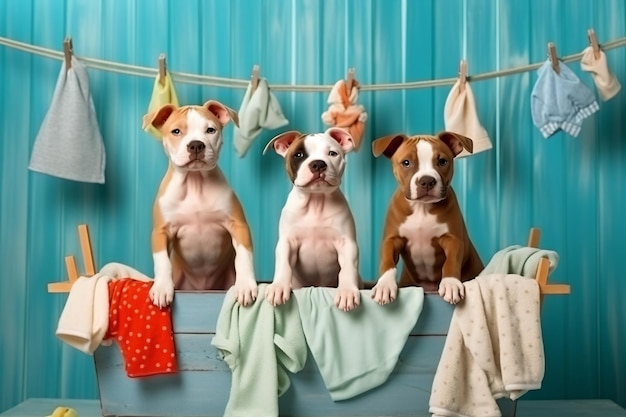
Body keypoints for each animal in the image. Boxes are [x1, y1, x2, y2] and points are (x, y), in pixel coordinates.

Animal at [141, 99, 256, 308]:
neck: (195, 183)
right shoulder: (161, 231)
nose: (196, 145)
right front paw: (161, 287)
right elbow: (162, 260)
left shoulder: (238, 225)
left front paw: (245, 285)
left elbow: (244, 255)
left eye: (210, 130)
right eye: (176, 131)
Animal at [264, 128, 360, 310]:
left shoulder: (347, 244)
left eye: (332, 153)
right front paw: (278, 287)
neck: (316, 202)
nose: (318, 164)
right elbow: (283, 265)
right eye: (299, 154)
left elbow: (348, 268)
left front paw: (347, 291)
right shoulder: (287, 243)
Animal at [370, 132, 482, 304]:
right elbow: (387, 261)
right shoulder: (392, 240)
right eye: (406, 163)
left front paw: (451, 283)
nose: (427, 180)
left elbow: (451, 261)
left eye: (442, 161)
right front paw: (384, 286)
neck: (421, 208)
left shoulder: (453, 239)